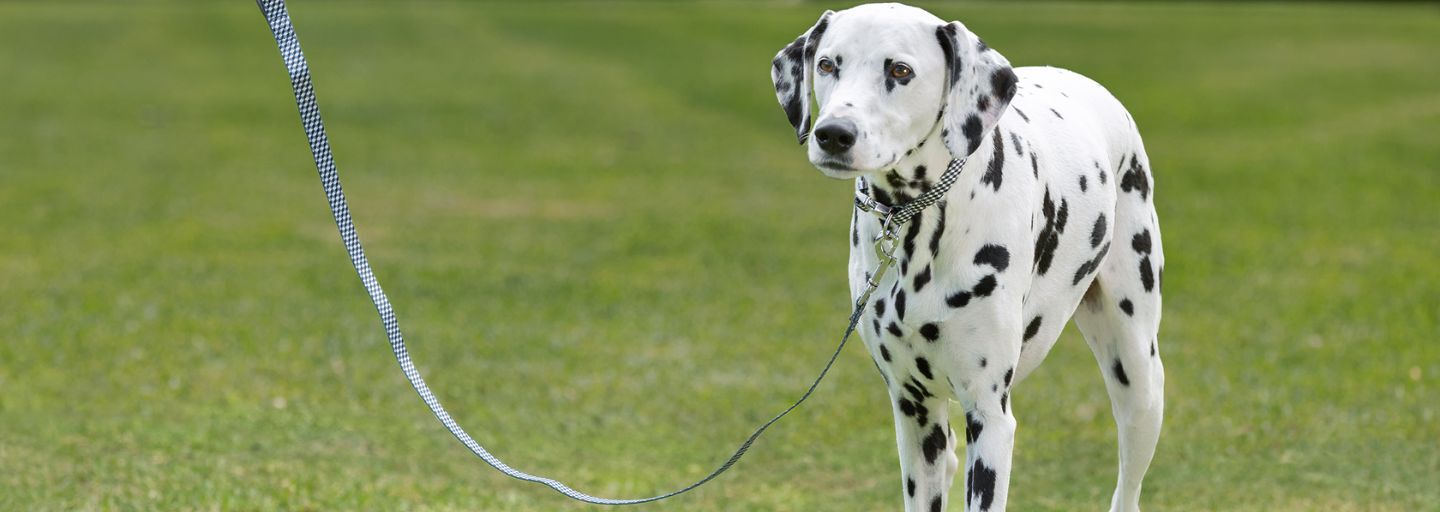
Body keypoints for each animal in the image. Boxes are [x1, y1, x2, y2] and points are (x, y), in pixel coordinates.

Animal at [771, 4, 1163, 512]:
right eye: (826, 65)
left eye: (900, 71)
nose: (833, 134)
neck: (917, 225)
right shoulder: (914, 413)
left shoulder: (990, 418)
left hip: (1139, 380)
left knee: (1128, 483)